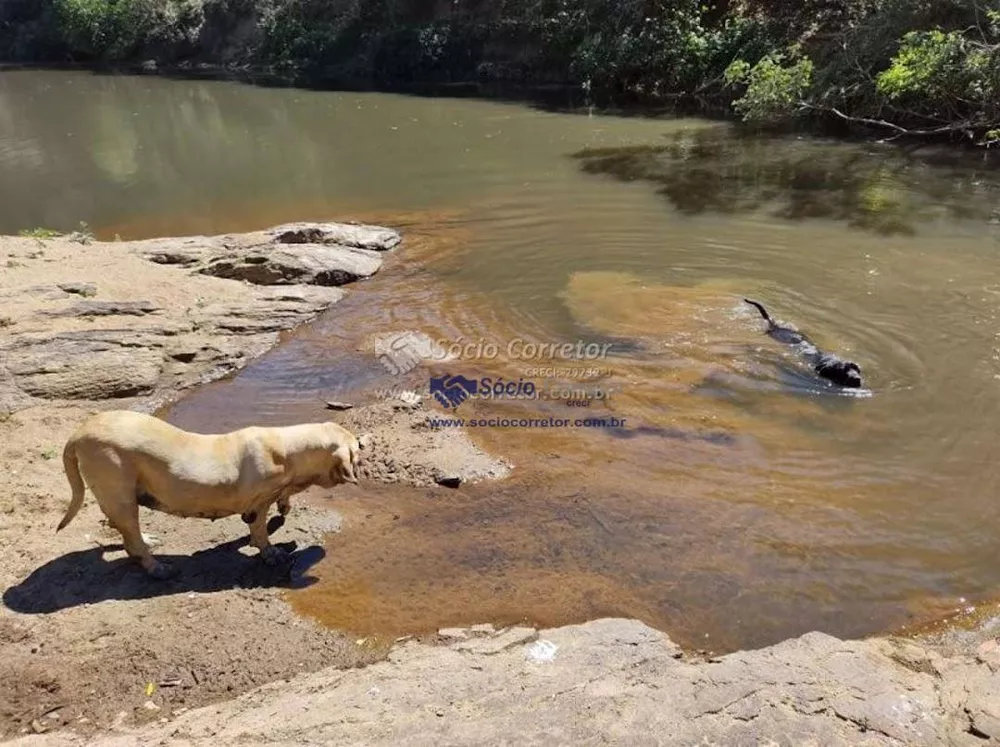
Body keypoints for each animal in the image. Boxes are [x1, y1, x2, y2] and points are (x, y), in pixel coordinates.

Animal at [59, 410, 364, 580]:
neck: (287, 449)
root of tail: (77, 434)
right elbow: (260, 531)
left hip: (121, 499)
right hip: (118, 490)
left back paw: (147, 541)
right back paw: (159, 569)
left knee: (125, 531)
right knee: (131, 539)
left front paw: (284, 507)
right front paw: (270, 552)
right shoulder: (257, 504)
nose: (363, 460)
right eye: (355, 454)